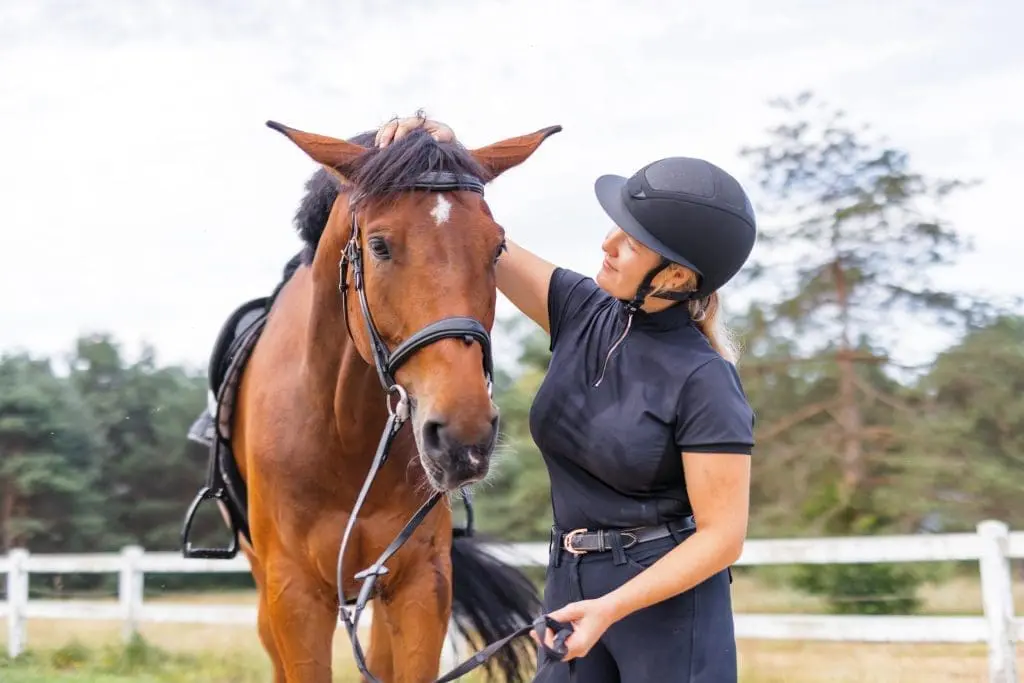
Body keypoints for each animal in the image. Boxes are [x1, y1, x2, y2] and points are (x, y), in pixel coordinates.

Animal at [188, 120, 565, 679]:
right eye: (380, 246)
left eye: (497, 248)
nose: (464, 435)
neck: (345, 433)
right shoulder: (293, 595)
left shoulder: (419, 583)